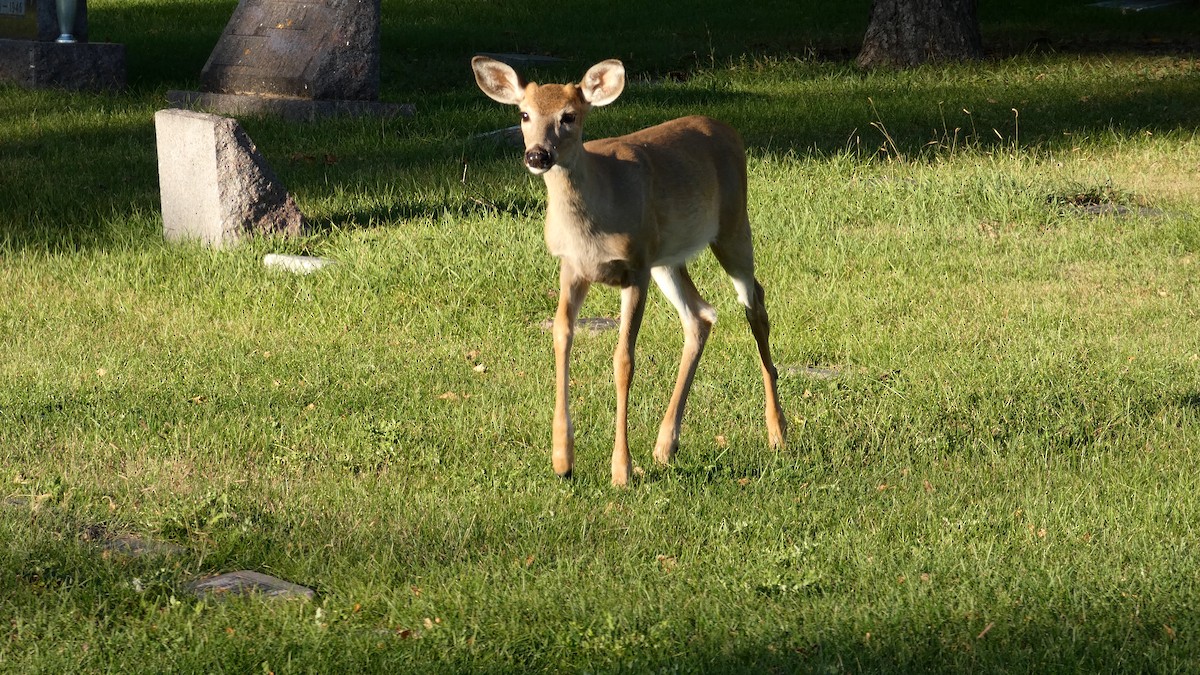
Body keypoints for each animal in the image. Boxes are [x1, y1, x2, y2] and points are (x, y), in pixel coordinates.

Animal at [471, 56, 787, 486]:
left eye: (569, 116)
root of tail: (727, 129)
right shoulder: (572, 267)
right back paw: (665, 445)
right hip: (667, 258)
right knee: (701, 315)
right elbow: (560, 336)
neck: (594, 219)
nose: (537, 155)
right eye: (523, 114)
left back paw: (778, 431)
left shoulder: (634, 268)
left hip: (732, 226)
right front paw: (562, 458)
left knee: (755, 303)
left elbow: (624, 361)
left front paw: (621, 469)